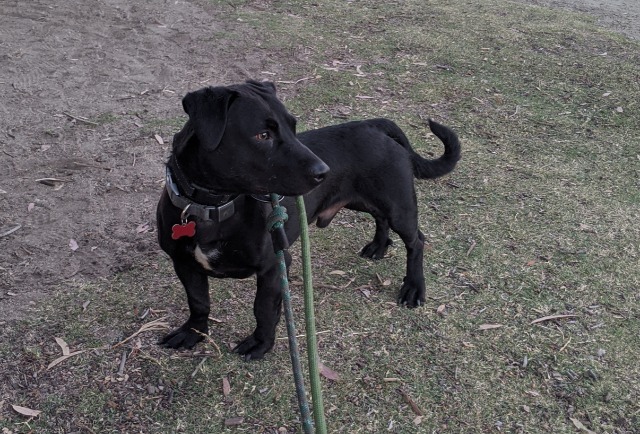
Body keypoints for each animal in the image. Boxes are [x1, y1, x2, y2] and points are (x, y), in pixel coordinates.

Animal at [158, 80, 462, 360]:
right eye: (263, 135)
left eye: (293, 127)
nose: (323, 172)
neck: (212, 207)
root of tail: (374, 125)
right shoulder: (184, 263)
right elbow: (198, 301)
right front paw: (193, 333)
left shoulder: (275, 266)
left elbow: (263, 309)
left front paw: (261, 344)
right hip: (361, 200)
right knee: (380, 218)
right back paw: (378, 245)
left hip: (398, 205)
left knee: (416, 241)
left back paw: (414, 287)